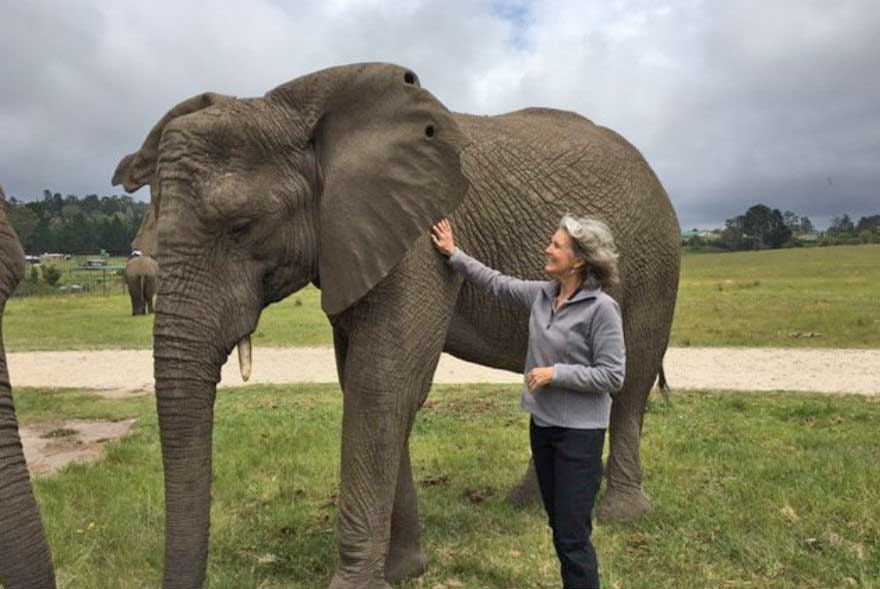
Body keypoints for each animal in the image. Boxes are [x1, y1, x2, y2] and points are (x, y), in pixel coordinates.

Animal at [113, 62, 680, 584]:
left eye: (241, 226)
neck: (289, 107)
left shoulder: (412, 244)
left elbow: (381, 387)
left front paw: (360, 583)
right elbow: (369, 385)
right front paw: (403, 571)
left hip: (655, 262)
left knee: (631, 377)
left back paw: (621, 515)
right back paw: (524, 506)